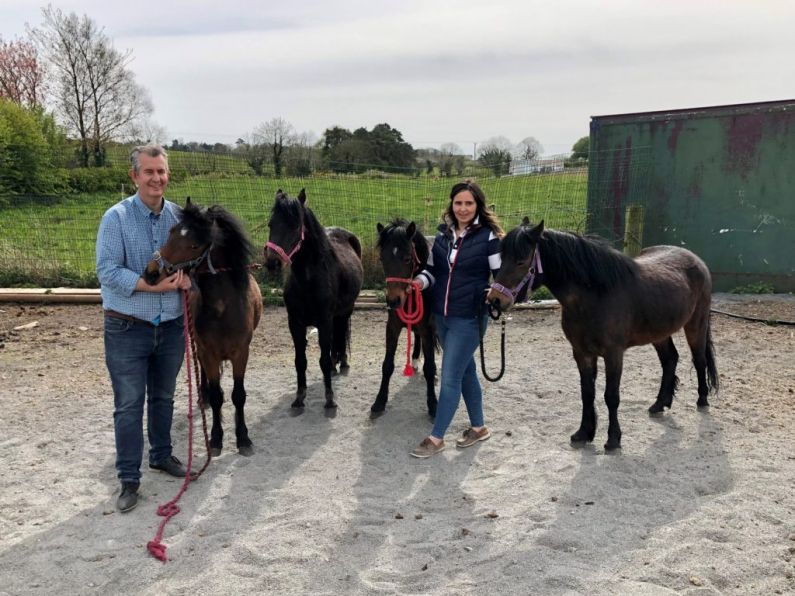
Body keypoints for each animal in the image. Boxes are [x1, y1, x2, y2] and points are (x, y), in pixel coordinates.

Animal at [145, 200, 262, 456]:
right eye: (171, 232)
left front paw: (243, 438)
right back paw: (204, 396)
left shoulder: (242, 353)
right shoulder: (209, 352)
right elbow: (218, 397)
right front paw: (216, 438)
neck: (223, 309)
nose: (151, 273)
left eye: (194, 245)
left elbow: (239, 396)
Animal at [266, 189, 366, 408]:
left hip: (346, 310)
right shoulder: (295, 324)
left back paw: (342, 361)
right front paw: (299, 396)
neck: (307, 281)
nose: (272, 263)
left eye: (295, 226)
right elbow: (300, 361)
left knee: (341, 331)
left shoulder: (324, 321)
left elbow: (323, 360)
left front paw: (329, 399)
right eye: (270, 224)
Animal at [374, 220, 442, 420]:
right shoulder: (393, 327)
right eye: (382, 259)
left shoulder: (428, 329)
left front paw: (433, 405)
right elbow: (387, 365)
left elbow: (430, 368)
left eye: (406, 258)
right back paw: (415, 359)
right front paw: (379, 401)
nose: (393, 301)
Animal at [488, 219, 720, 452]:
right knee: (670, 359)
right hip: (659, 333)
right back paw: (659, 404)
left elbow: (611, 396)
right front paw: (583, 433)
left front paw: (613, 439)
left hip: (696, 324)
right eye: (502, 258)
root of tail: (696, 259)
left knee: (699, 359)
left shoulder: (613, 354)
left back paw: (702, 400)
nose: (495, 300)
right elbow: (587, 393)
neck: (595, 297)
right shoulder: (581, 353)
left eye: (521, 261)